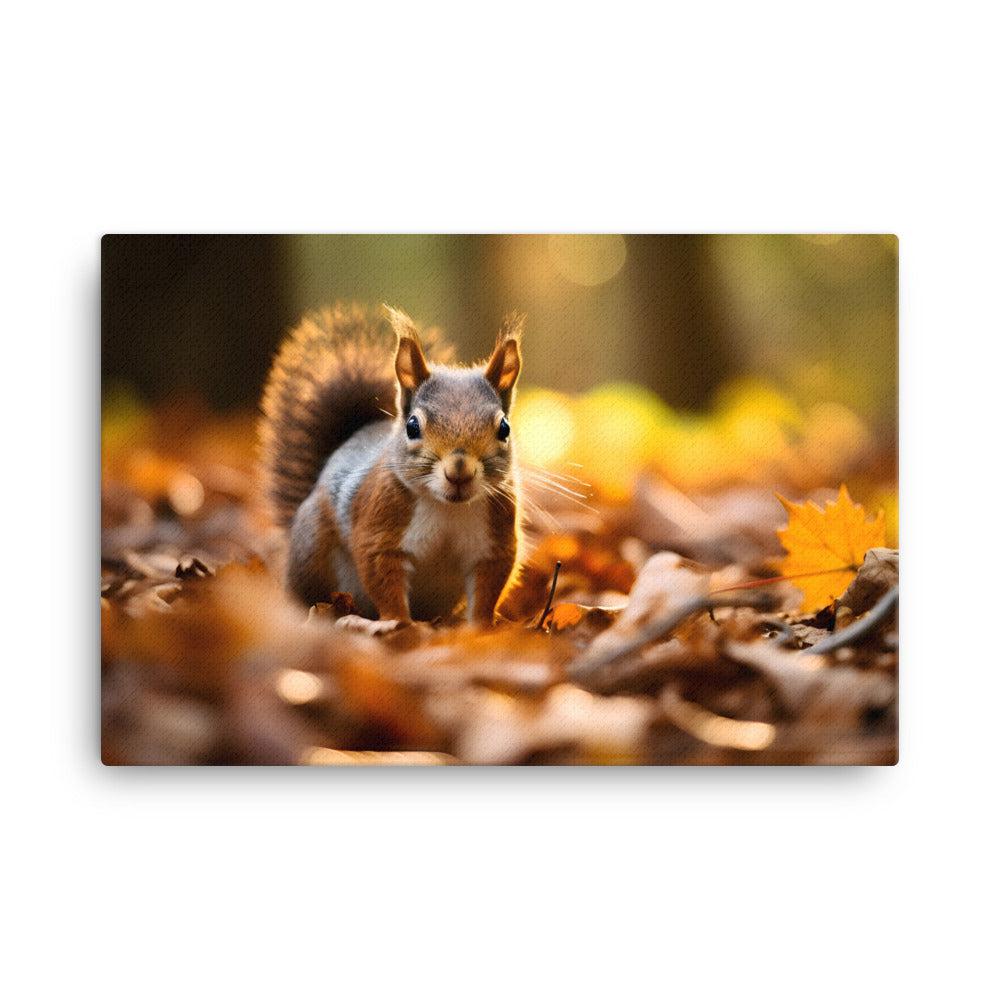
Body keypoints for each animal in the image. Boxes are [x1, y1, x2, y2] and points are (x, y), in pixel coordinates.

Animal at [259, 303, 524, 624]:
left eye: (504, 428)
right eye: (412, 426)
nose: (459, 471)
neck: (447, 508)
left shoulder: (493, 544)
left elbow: (487, 591)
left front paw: (482, 627)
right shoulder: (380, 530)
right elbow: (383, 580)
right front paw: (399, 624)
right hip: (310, 552)